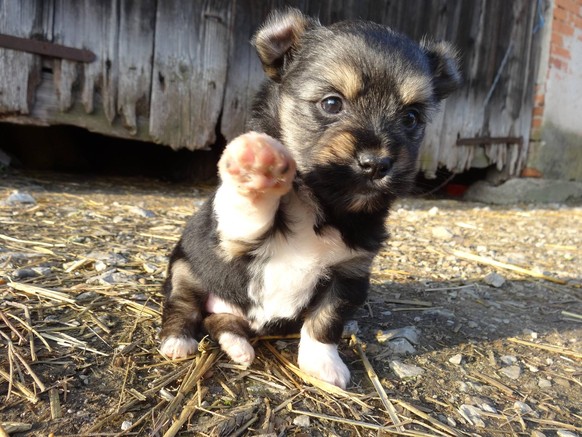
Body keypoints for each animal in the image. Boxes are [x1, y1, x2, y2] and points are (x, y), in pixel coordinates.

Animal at [160, 7, 460, 388]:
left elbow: (326, 319)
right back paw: (178, 341)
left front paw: (323, 364)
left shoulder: (350, 272)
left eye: (411, 117)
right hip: (185, 270)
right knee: (183, 306)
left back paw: (237, 346)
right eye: (332, 103)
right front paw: (258, 168)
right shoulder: (231, 240)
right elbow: (248, 214)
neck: (325, 204)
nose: (376, 163)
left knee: (221, 321)